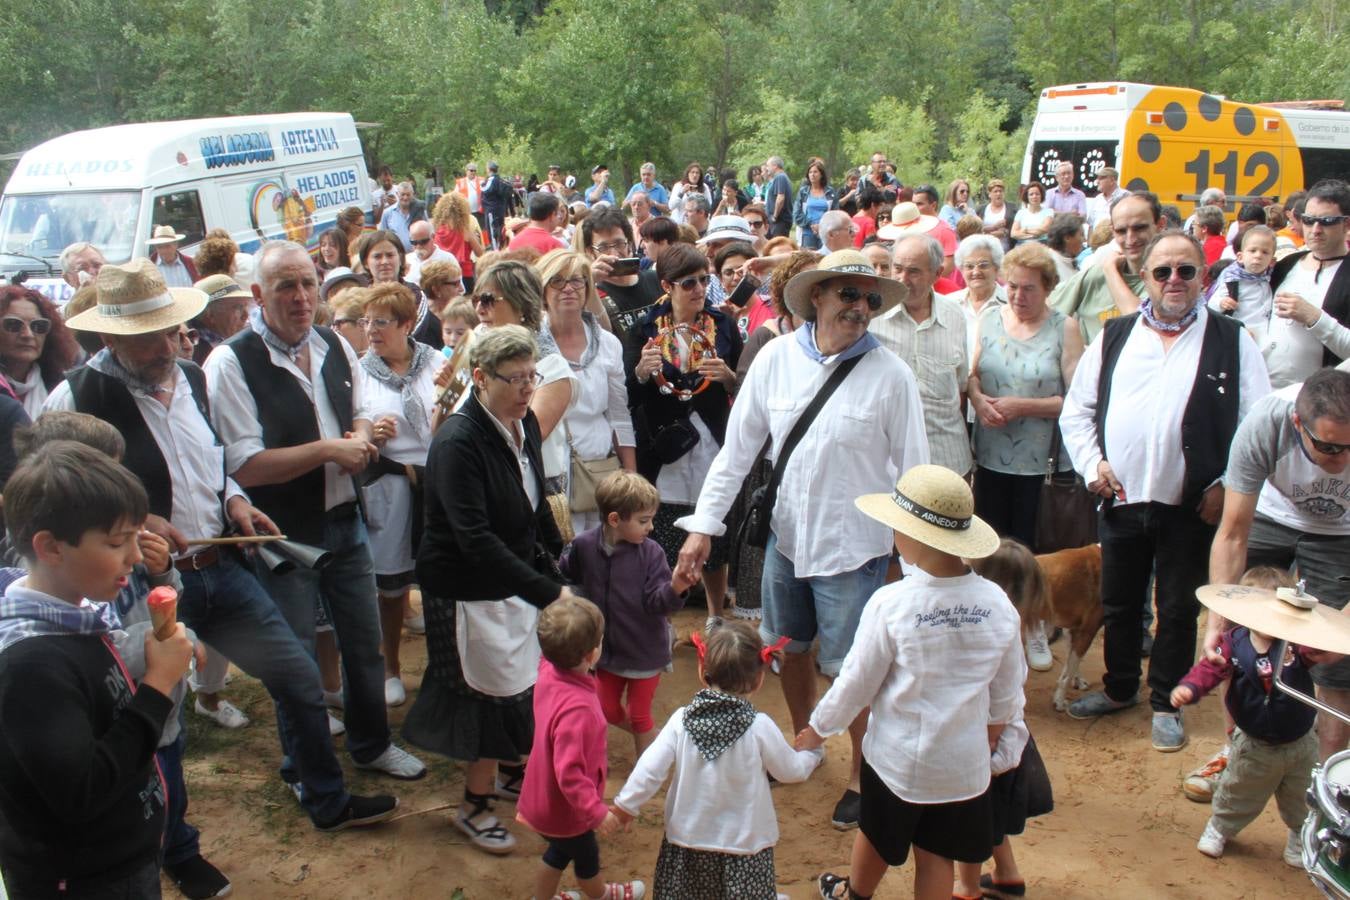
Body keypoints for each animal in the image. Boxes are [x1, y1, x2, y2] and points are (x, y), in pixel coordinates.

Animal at [977, 542, 1101, 712]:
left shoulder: (1073, 630)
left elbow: (1071, 665)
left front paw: (1078, 681)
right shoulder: (1088, 630)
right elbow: (1068, 673)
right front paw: (1059, 701)